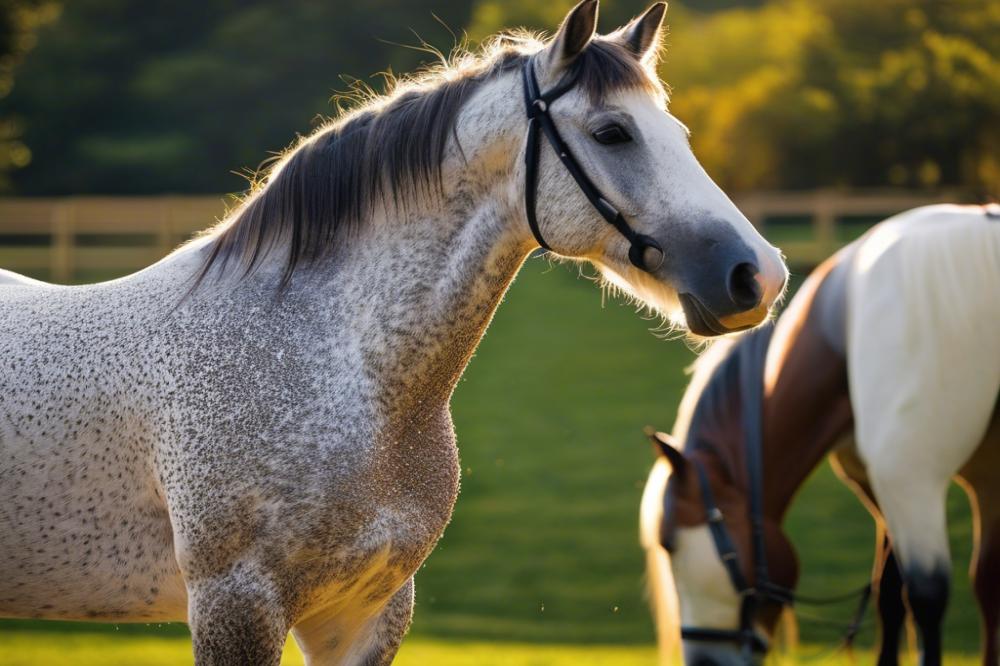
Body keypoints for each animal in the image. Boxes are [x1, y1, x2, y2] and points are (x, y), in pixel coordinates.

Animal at [640, 205, 1000, 660]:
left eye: (669, 544)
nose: (704, 661)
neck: (847, 324)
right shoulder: (902, 488)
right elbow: (898, 595)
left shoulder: (912, 484)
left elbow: (926, 599)